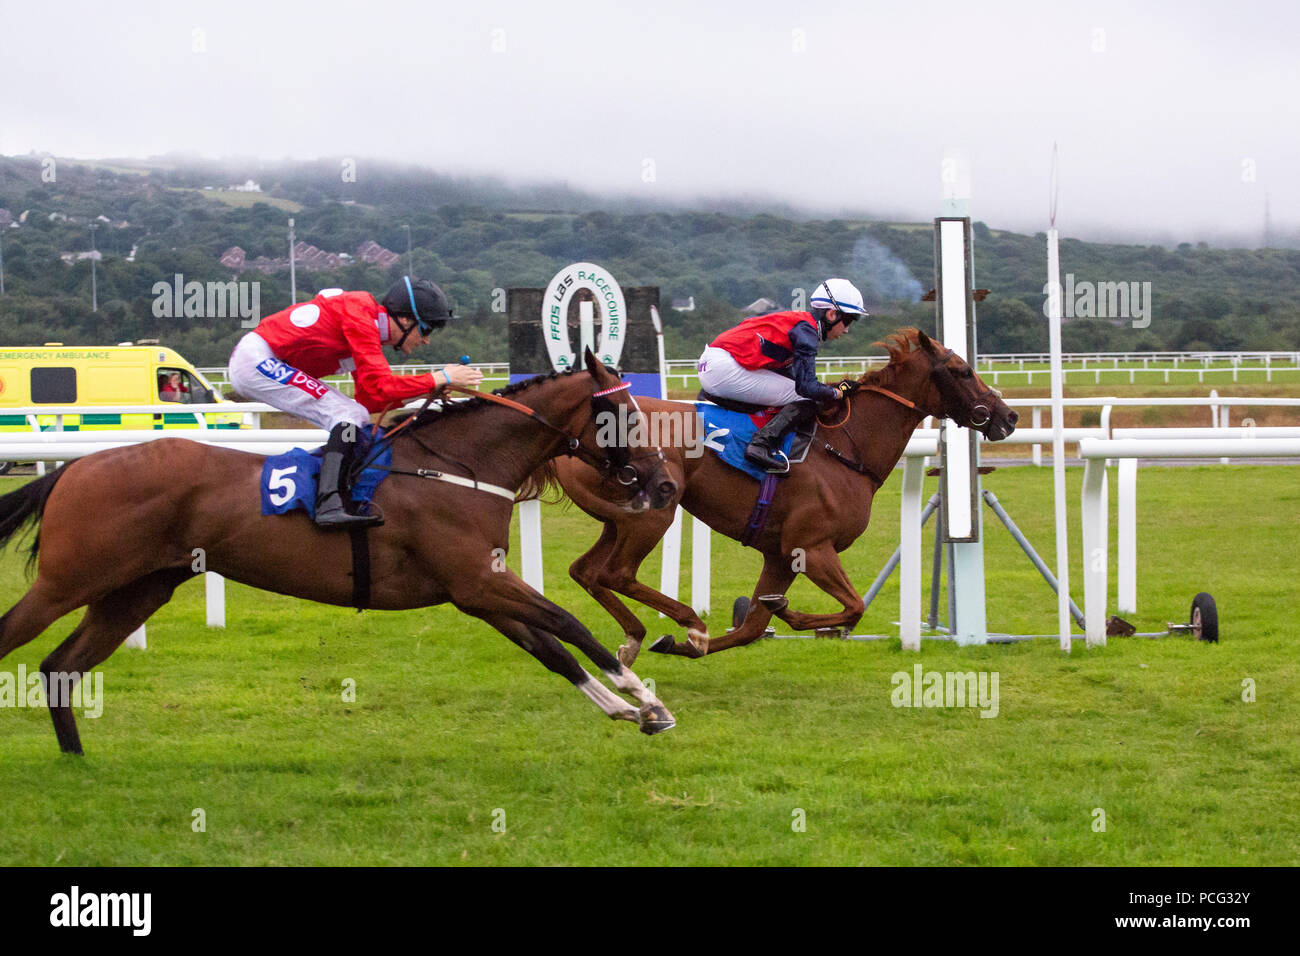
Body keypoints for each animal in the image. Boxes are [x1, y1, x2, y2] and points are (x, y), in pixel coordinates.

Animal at [2, 348, 681, 749]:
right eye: (623, 415)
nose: (666, 485)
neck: (458, 466)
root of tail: (75, 468)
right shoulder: (479, 582)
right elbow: (570, 625)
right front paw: (647, 697)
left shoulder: (475, 591)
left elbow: (552, 650)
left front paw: (625, 709)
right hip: (68, 581)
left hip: (135, 591)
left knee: (59, 667)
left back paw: (78, 765)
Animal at [553, 325, 1019, 660]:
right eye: (962, 370)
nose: (1008, 416)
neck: (845, 447)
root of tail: (574, 434)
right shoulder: (811, 547)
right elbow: (854, 607)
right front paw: (780, 613)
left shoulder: (779, 554)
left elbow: (751, 628)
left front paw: (686, 644)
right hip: (652, 513)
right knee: (615, 574)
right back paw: (682, 623)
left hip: (618, 520)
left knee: (585, 571)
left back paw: (638, 638)